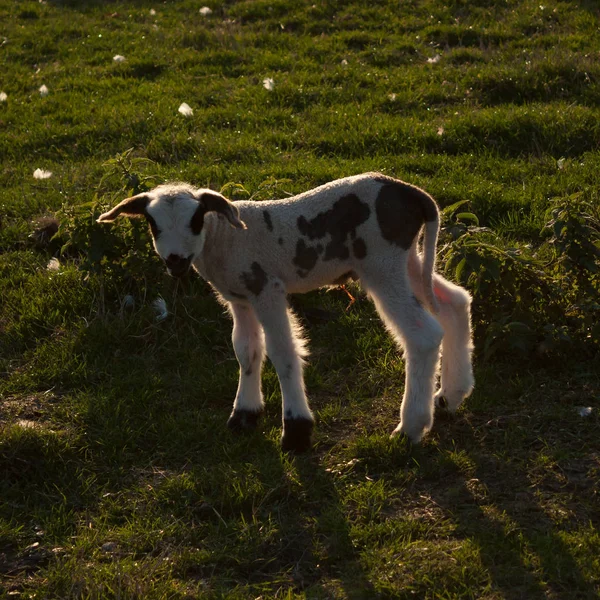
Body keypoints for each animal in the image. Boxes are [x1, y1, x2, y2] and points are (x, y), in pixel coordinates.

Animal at [97, 172, 474, 450]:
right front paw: (244, 415)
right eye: (153, 223)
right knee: (454, 302)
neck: (225, 240)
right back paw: (451, 396)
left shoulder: (267, 289)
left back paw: (410, 428)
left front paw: (296, 431)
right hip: (405, 259)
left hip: (382, 260)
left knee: (423, 335)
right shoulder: (240, 296)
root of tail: (413, 195)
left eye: (196, 219)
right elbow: (246, 350)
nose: (175, 260)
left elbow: (283, 351)